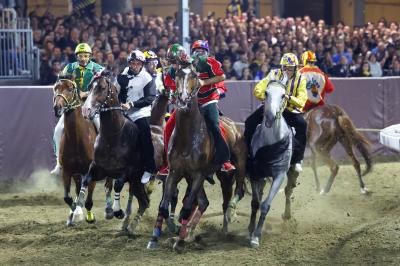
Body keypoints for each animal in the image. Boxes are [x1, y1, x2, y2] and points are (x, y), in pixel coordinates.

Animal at [147, 64, 247, 251]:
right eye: (177, 75)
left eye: (194, 75)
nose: (183, 98)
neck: (187, 137)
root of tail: (235, 128)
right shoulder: (175, 172)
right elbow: (164, 205)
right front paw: (155, 238)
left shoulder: (199, 174)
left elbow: (186, 207)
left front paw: (180, 240)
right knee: (204, 202)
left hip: (235, 168)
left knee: (234, 194)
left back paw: (226, 223)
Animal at [247, 80, 300, 247]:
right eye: (266, 93)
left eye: (283, 95)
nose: (270, 116)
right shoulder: (255, 174)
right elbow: (255, 202)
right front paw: (251, 229)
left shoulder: (279, 175)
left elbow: (265, 205)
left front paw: (256, 237)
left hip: (291, 172)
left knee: (289, 190)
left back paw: (287, 215)